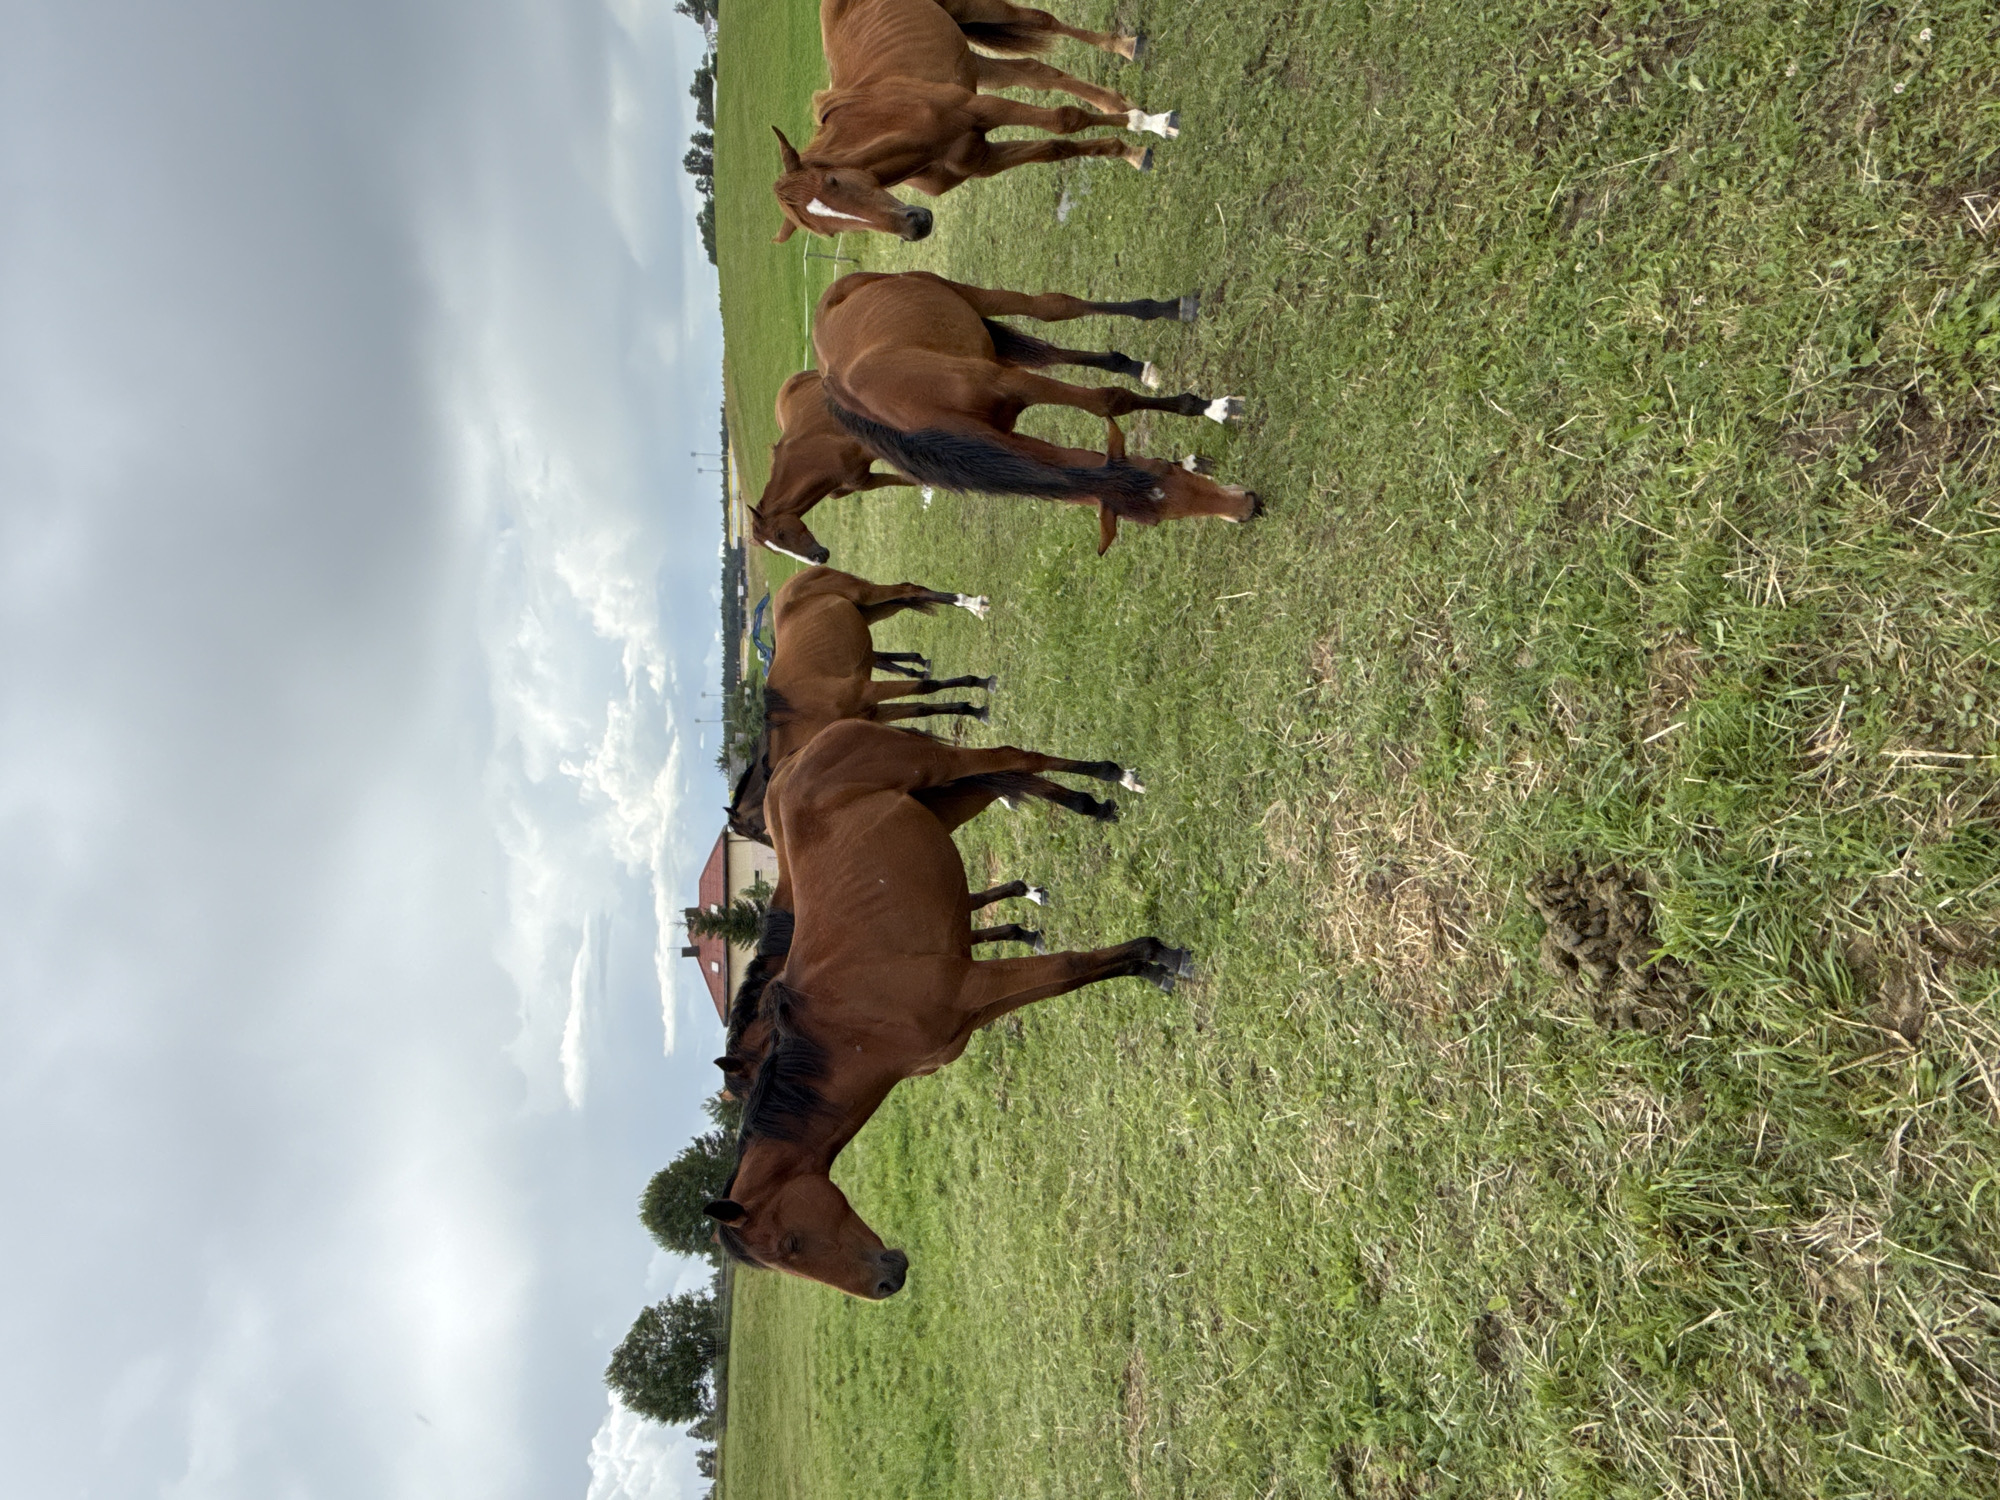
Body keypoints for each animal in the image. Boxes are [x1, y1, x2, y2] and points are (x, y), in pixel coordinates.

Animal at [701, 720, 1193, 1297]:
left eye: (789, 1245)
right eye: (786, 1261)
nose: (886, 1283)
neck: (853, 1029)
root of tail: (805, 750)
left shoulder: (972, 986)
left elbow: (1071, 966)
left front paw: (1162, 955)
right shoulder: (975, 1007)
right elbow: (1070, 973)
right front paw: (1150, 964)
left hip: (937, 768)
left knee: (1013, 755)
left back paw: (1110, 781)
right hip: (944, 797)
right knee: (1012, 771)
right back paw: (1091, 804)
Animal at [725, 564, 997, 845]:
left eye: (754, 830)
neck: (801, 715)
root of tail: (797, 578)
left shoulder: (868, 691)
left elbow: (927, 687)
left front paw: (982, 686)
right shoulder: (873, 711)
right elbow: (923, 707)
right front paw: (972, 709)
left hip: (866, 595)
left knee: (910, 589)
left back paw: (973, 604)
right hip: (875, 610)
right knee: (910, 595)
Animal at [771, 0, 1180, 243]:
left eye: (834, 181)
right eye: (826, 232)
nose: (916, 226)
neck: (893, 123)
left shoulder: (982, 109)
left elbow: (1065, 120)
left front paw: (1150, 123)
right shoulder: (983, 160)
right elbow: (1055, 146)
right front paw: (1131, 151)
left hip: (972, 10)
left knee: (1044, 21)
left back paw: (1126, 46)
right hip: (973, 61)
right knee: (1036, 72)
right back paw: (1115, 96)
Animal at [813, 271, 1262, 552]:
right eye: (1155, 522)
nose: (1246, 507)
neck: (921, 418)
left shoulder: (1016, 385)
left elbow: (1107, 401)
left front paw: (1211, 407)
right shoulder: (1007, 423)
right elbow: (1105, 414)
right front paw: (1193, 452)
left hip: (962, 296)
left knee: (1053, 307)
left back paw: (1169, 310)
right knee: (1055, 349)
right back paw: (1135, 365)